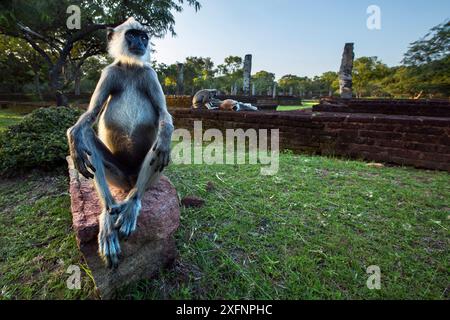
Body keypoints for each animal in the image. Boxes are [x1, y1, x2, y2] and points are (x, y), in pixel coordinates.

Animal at [67, 17, 174, 268]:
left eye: (144, 36)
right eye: (132, 35)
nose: (140, 43)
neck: (131, 66)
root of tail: (130, 181)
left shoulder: (150, 74)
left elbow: (164, 118)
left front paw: (166, 133)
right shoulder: (109, 72)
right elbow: (90, 115)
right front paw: (73, 135)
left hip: (145, 178)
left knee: (160, 147)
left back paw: (132, 204)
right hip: (118, 176)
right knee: (87, 137)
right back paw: (109, 213)